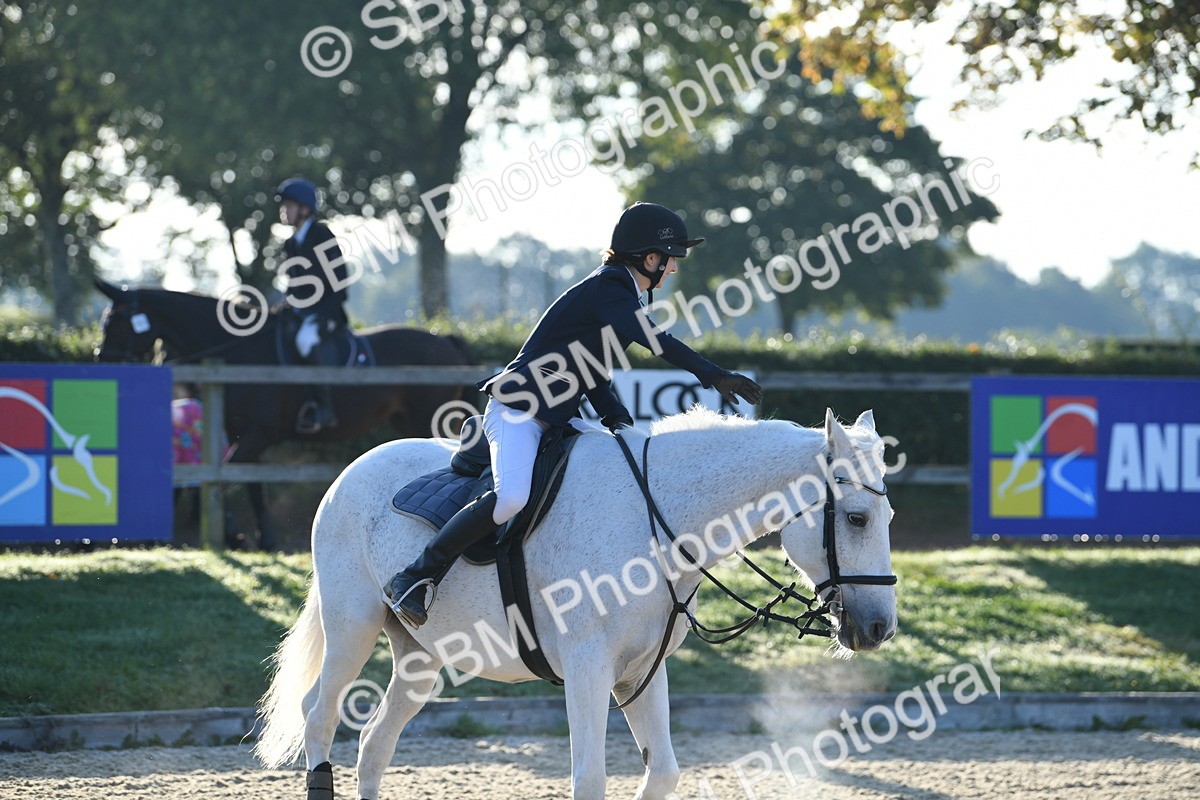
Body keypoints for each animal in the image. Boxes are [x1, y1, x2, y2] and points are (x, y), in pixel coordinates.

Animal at [92, 279, 473, 549]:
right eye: (105, 321)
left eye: (117, 323)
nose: (105, 366)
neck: (241, 351)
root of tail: (444, 340)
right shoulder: (243, 436)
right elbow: (251, 483)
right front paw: (261, 538)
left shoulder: (258, 435)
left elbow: (229, 475)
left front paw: (235, 536)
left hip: (426, 416)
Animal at [253, 406, 898, 800]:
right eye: (857, 518)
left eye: (887, 516)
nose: (879, 629)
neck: (658, 516)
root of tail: (352, 471)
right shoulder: (588, 668)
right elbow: (589, 779)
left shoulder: (640, 670)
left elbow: (661, 774)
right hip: (354, 626)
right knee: (320, 716)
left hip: (419, 658)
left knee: (375, 743)